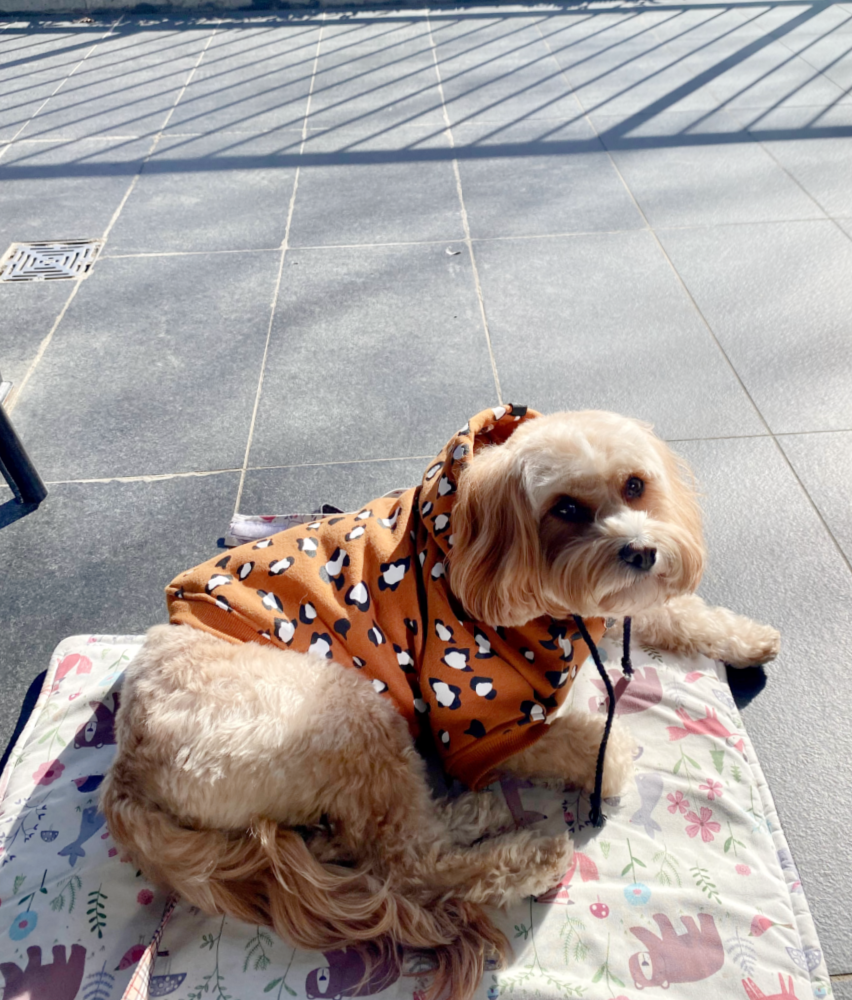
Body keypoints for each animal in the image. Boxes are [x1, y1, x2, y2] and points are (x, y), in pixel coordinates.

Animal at [100, 402, 780, 996]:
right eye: (565, 507)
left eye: (636, 485)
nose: (641, 551)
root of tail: (129, 767)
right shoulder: (484, 726)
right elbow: (592, 748)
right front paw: (609, 761)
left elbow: (676, 610)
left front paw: (745, 637)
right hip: (349, 710)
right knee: (409, 861)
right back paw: (528, 855)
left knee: (381, 834)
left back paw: (469, 814)